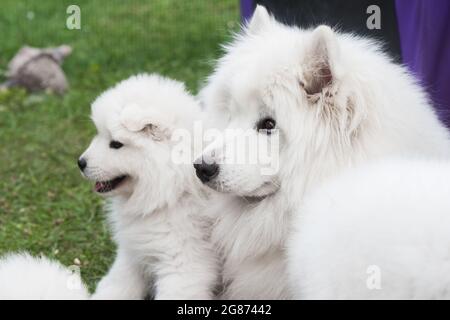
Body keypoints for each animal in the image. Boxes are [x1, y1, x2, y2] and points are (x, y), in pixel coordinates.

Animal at [81, 74, 219, 298]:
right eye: (99, 134)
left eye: (116, 144)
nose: (80, 162)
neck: (172, 192)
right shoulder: (134, 252)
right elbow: (117, 283)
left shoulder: (183, 265)